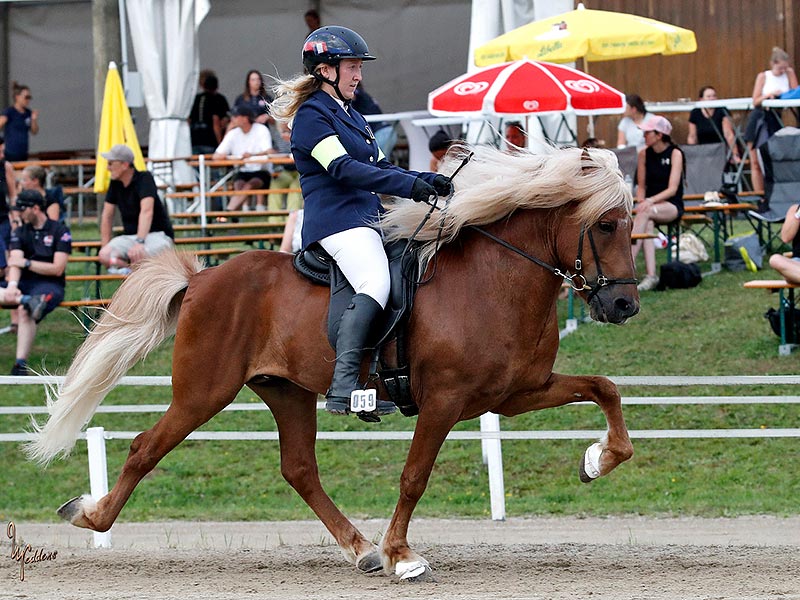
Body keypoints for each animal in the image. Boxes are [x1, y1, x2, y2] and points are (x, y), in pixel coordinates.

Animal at [23, 143, 636, 580]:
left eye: (631, 226)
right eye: (606, 225)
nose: (625, 305)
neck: (495, 281)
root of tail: (201, 278)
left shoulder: (517, 393)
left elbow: (605, 388)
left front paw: (597, 460)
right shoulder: (445, 401)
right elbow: (414, 477)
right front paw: (402, 555)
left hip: (286, 390)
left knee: (298, 468)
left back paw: (360, 548)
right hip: (203, 391)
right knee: (145, 448)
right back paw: (91, 515)